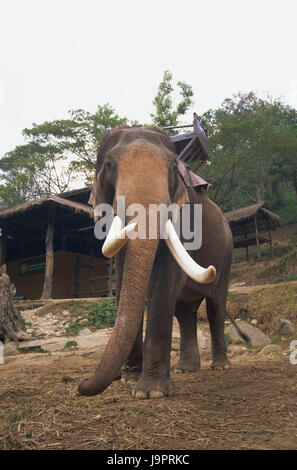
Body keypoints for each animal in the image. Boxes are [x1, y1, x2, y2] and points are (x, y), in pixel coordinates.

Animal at [78, 124, 234, 396]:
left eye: (172, 168)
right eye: (108, 165)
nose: (82, 382)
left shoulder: (182, 220)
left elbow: (164, 282)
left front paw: (151, 392)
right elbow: (123, 283)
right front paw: (130, 379)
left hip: (226, 257)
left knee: (215, 306)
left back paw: (220, 367)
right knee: (185, 312)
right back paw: (186, 370)